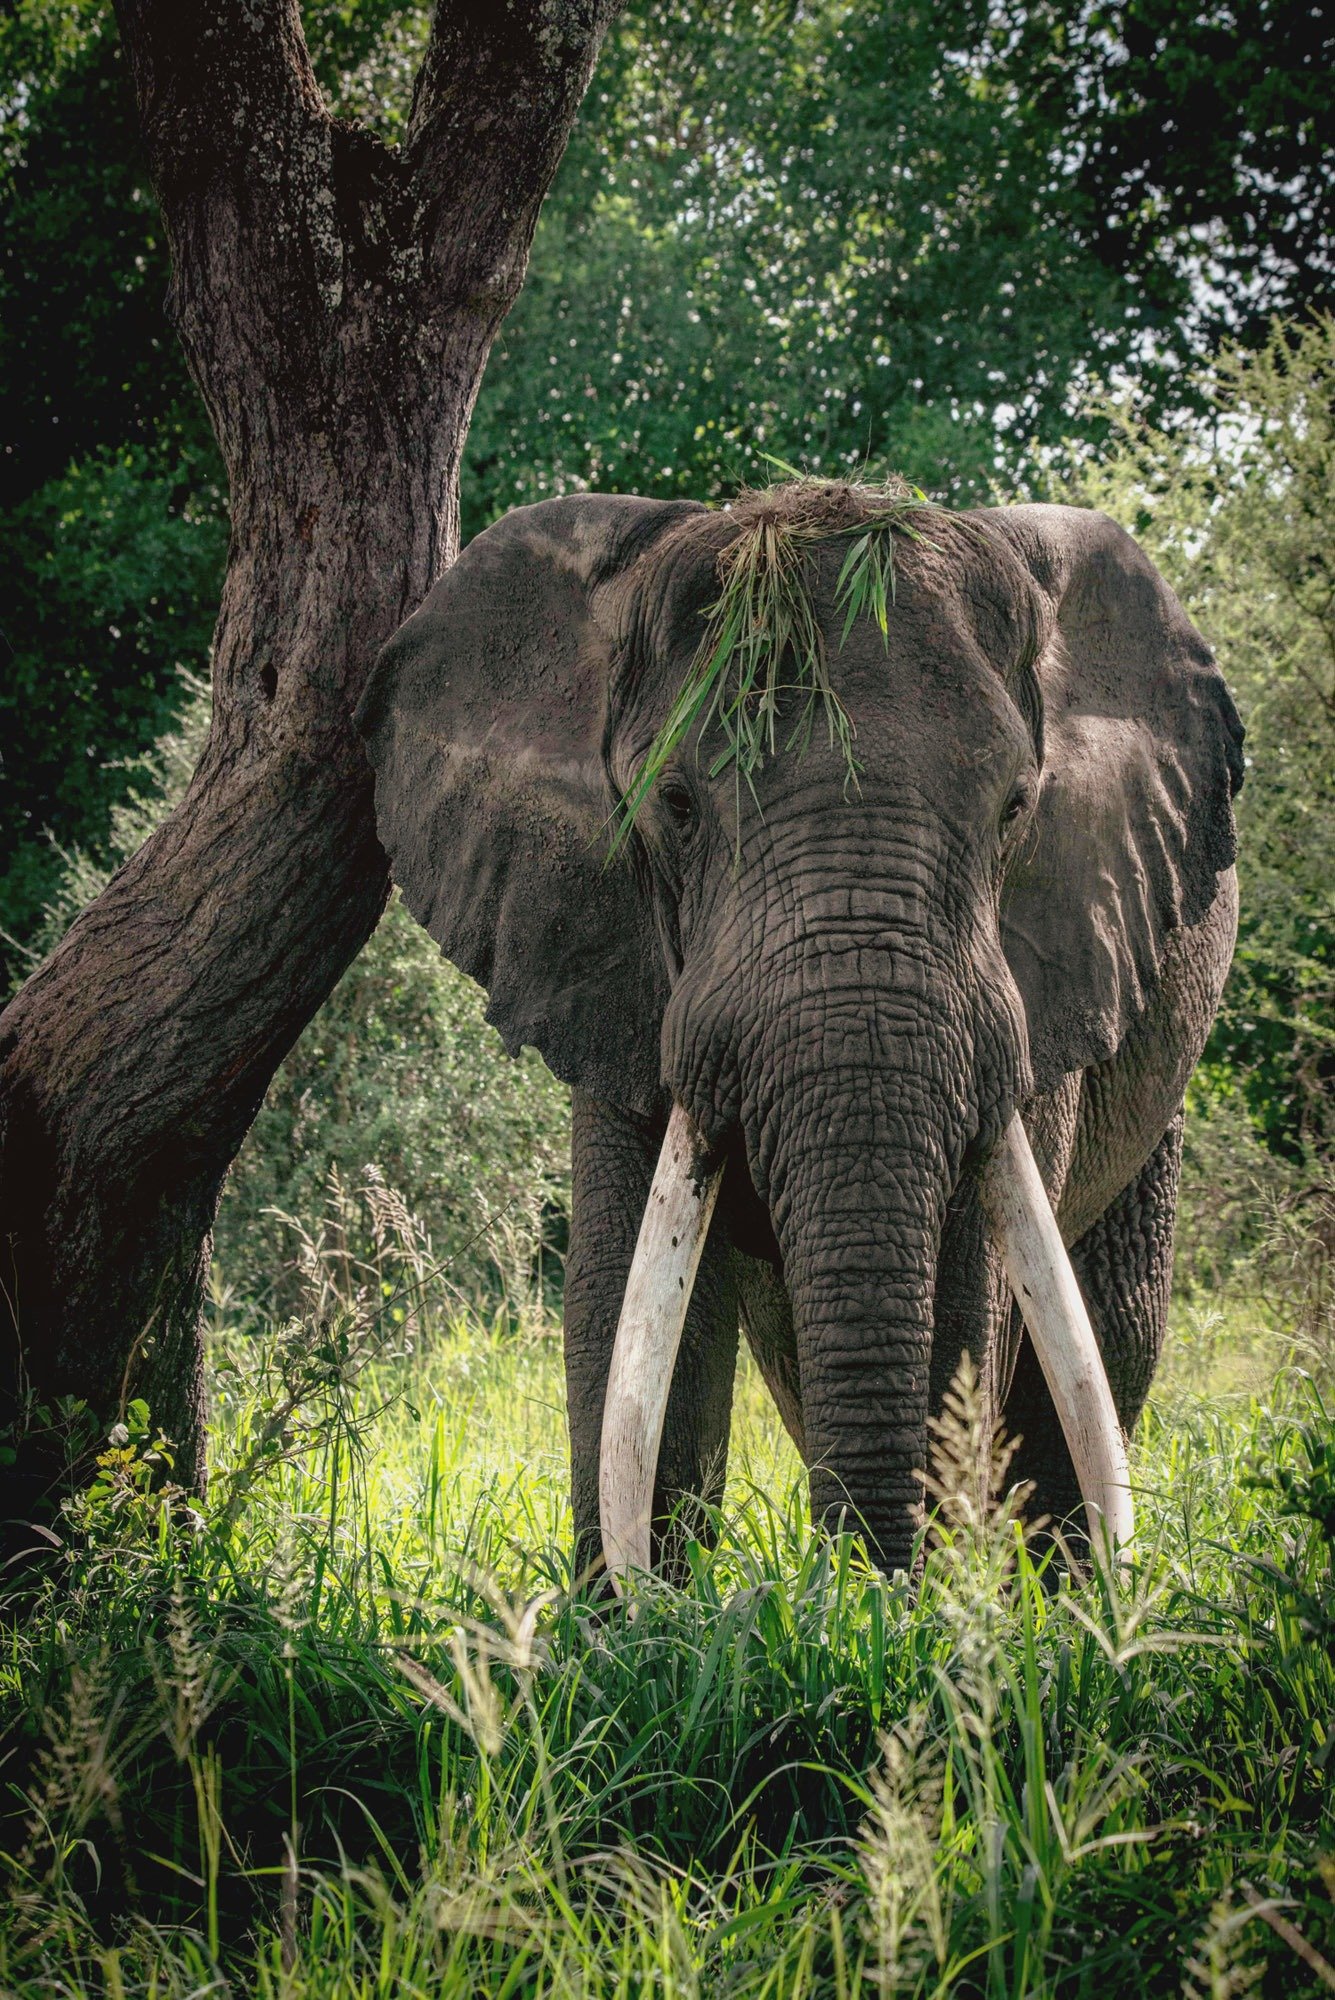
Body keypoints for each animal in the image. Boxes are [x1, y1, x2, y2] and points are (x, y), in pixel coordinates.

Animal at [355, 481, 1242, 1583]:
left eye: (1014, 808)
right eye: (674, 804)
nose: (872, 1582)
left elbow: (968, 1297)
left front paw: (912, 1615)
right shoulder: (605, 951)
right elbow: (625, 1311)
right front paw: (640, 1620)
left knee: (1101, 1342)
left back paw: (1075, 1602)